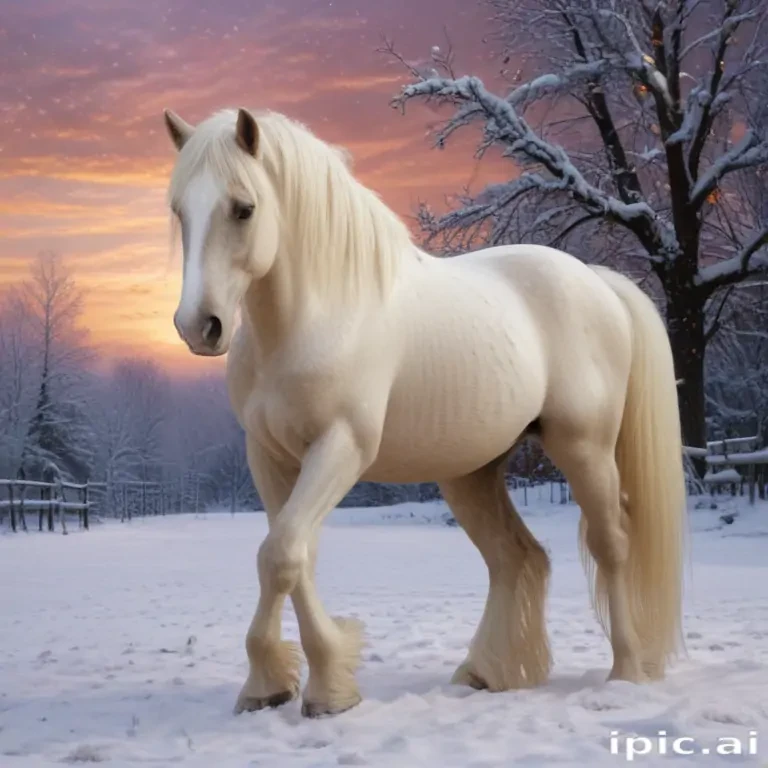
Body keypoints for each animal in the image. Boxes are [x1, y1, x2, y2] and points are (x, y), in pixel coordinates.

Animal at [162, 106, 686, 719]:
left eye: (243, 208)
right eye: (179, 210)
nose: (199, 326)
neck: (316, 317)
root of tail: (596, 281)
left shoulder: (342, 447)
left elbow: (281, 556)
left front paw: (316, 688)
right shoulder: (269, 457)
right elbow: (292, 557)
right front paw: (285, 685)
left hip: (585, 449)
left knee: (611, 546)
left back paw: (626, 672)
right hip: (470, 473)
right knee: (516, 557)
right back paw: (485, 672)